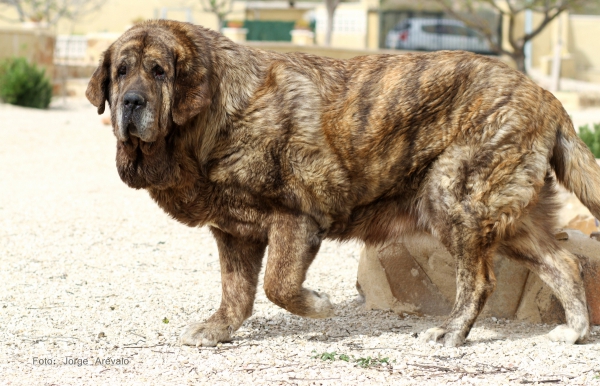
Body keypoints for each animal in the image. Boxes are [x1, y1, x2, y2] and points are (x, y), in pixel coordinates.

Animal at [84, 19, 600, 348]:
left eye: (159, 71)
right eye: (121, 71)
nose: (131, 102)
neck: (212, 120)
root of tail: (546, 95)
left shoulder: (295, 218)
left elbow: (277, 285)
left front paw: (319, 307)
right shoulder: (234, 233)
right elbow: (237, 292)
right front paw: (218, 330)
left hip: (455, 200)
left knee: (479, 281)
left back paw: (451, 333)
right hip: (511, 220)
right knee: (563, 264)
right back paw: (573, 331)